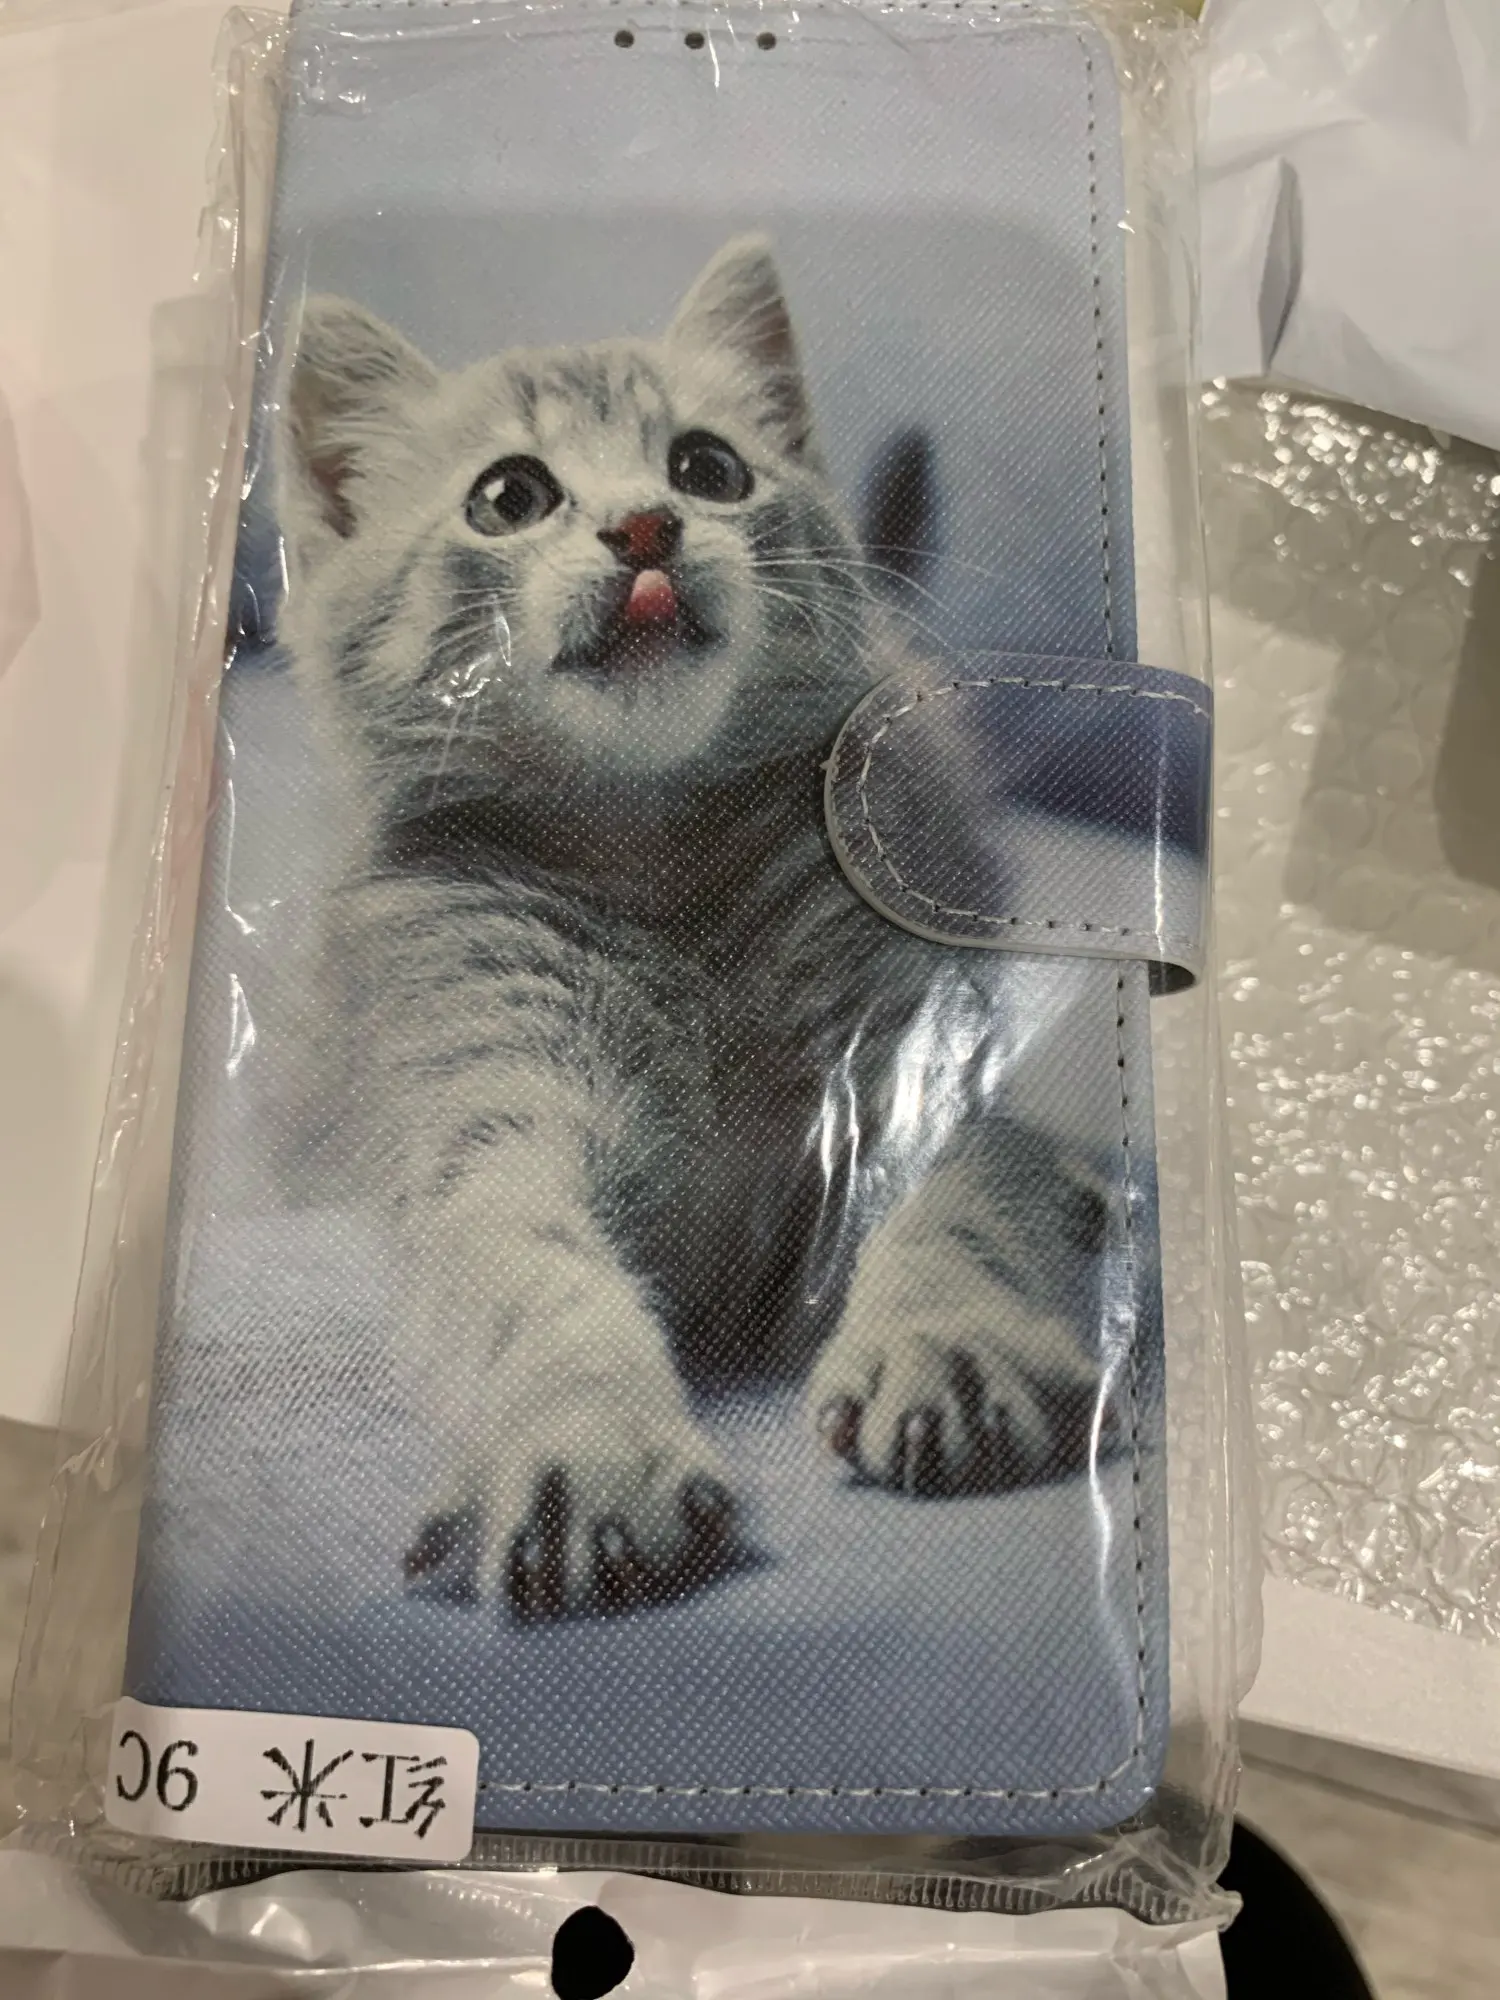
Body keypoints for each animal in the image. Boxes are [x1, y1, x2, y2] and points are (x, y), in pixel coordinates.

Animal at [276, 235, 1108, 1621]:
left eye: (707, 468)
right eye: (509, 495)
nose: (646, 525)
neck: (663, 861)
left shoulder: (922, 1044)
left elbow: (965, 1189)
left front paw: (944, 1336)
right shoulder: (478, 1098)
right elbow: (525, 1262)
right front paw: (584, 1439)